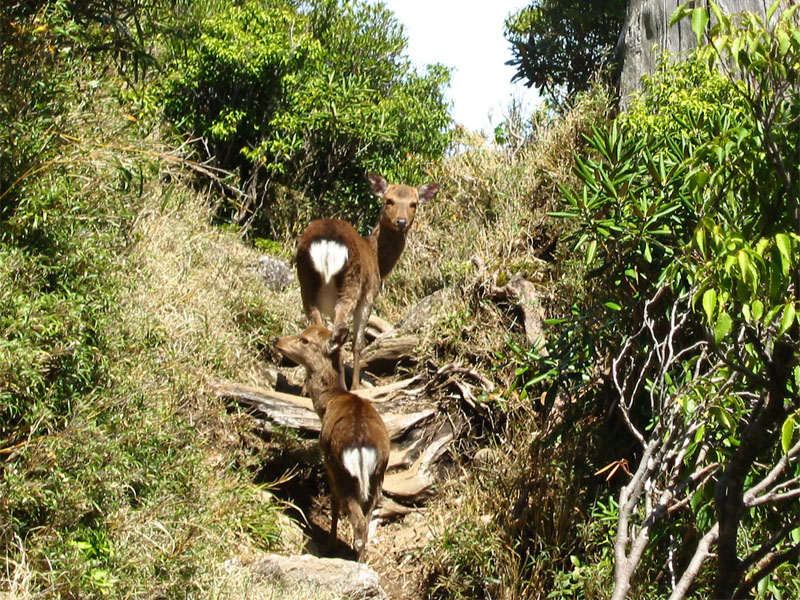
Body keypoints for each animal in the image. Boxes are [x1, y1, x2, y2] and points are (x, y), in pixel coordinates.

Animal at [272, 324, 390, 564]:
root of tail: (362, 446)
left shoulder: (327, 460)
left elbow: (334, 502)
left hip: (344, 471)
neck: (329, 402)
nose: (276, 340)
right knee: (368, 518)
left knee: (358, 522)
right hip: (378, 475)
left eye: (305, 340)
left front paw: (330, 544)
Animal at [296, 171, 440, 392]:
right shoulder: (369, 295)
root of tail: (326, 242)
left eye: (413, 203)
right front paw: (356, 385)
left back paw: (307, 387)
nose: (401, 222)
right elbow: (358, 343)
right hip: (350, 286)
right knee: (339, 332)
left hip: (306, 282)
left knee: (316, 325)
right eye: (388, 200)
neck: (377, 259)